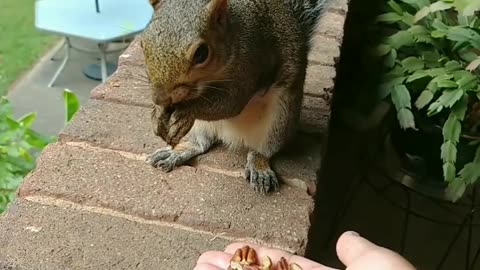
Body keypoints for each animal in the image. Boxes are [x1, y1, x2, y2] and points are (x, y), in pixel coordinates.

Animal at [141, 0, 332, 194]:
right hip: (200, 127)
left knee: (263, 150)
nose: (159, 98)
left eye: (201, 53)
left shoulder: (249, 64)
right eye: (143, 43)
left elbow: (231, 104)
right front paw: (157, 114)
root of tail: (229, 135)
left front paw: (186, 113)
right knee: (200, 144)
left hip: (280, 118)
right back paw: (175, 152)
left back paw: (260, 168)